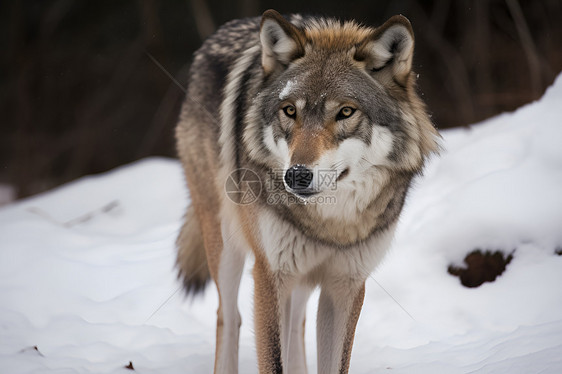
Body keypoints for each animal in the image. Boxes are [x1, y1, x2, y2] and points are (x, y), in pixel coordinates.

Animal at [175, 8, 438, 374]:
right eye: (290, 111)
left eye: (345, 112)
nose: (296, 176)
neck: (330, 224)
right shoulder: (269, 275)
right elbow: (273, 360)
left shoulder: (346, 286)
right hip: (226, 248)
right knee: (228, 317)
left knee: (296, 324)